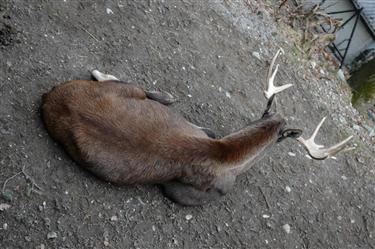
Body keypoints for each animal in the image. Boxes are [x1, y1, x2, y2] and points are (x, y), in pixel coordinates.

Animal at [41, 49, 356, 205]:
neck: (230, 155)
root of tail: (49, 99)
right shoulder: (193, 192)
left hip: (122, 92)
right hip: (132, 90)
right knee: (149, 90)